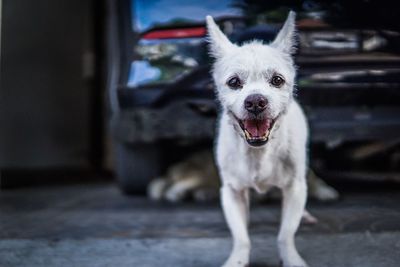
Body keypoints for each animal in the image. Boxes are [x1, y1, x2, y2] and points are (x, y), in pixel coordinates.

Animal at [208, 12, 310, 267]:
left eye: (277, 80)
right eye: (234, 82)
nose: (255, 101)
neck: (258, 152)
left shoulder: (295, 188)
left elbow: (285, 234)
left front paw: (291, 258)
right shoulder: (232, 192)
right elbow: (241, 237)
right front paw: (237, 260)